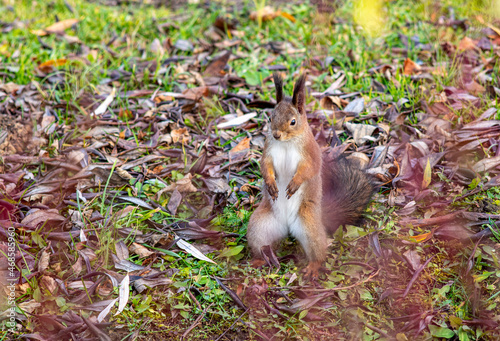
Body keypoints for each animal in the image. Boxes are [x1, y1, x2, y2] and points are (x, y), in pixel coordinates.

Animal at [246, 73, 372, 278]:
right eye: (271, 117)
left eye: (293, 122)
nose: (276, 134)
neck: (287, 143)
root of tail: (287, 226)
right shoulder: (268, 151)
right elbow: (265, 167)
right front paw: (270, 183)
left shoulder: (311, 154)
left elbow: (309, 170)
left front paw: (294, 183)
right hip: (259, 227)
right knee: (261, 244)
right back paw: (259, 260)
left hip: (309, 225)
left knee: (318, 251)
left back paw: (313, 267)